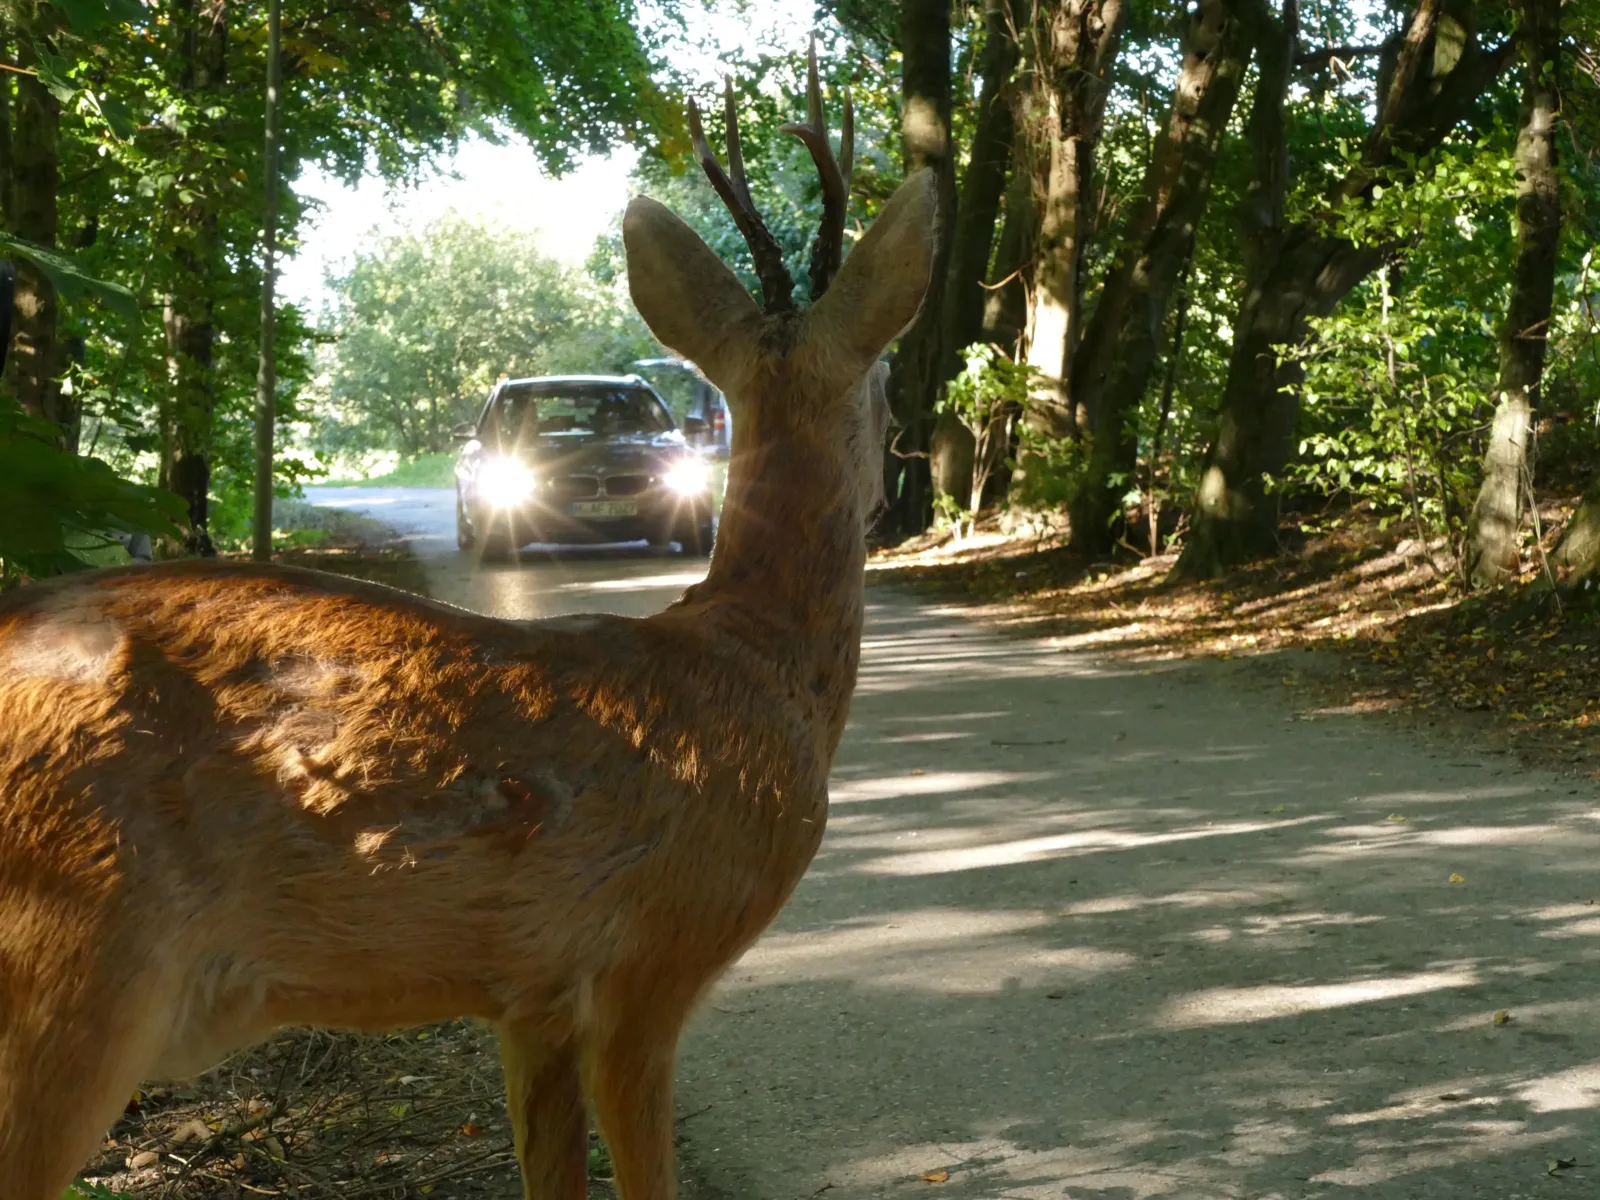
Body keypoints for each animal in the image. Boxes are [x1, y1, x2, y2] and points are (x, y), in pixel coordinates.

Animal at [0, 45, 935, 1200]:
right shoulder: (646, 963)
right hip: (74, 959)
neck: (758, 666)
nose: (909, 465)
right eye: (886, 376)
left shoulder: (529, 999)